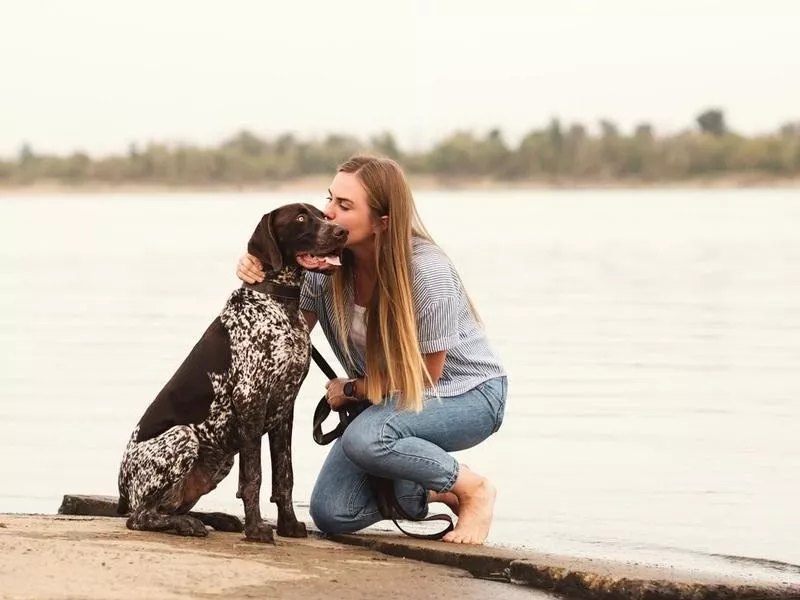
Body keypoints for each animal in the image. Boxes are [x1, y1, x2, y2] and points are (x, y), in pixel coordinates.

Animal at [118, 203, 346, 544]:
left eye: (324, 214)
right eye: (300, 218)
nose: (342, 232)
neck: (278, 304)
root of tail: (121, 491)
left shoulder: (284, 407)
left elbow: (284, 477)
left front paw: (288, 525)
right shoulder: (251, 399)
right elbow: (254, 477)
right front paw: (256, 529)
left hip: (219, 461)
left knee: (169, 508)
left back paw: (216, 518)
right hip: (183, 437)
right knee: (141, 516)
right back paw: (187, 525)